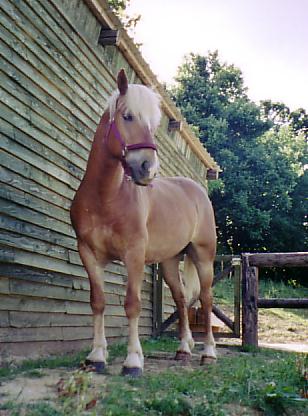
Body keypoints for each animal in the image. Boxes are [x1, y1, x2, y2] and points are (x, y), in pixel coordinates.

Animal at [71, 69, 218, 376]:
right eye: (127, 116)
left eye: (153, 124)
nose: (147, 169)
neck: (106, 197)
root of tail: (197, 191)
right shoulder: (88, 253)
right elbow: (97, 302)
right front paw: (96, 356)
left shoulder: (134, 255)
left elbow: (132, 304)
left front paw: (133, 361)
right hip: (171, 261)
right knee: (181, 299)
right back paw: (183, 350)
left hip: (203, 256)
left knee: (206, 298)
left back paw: (208, 353)